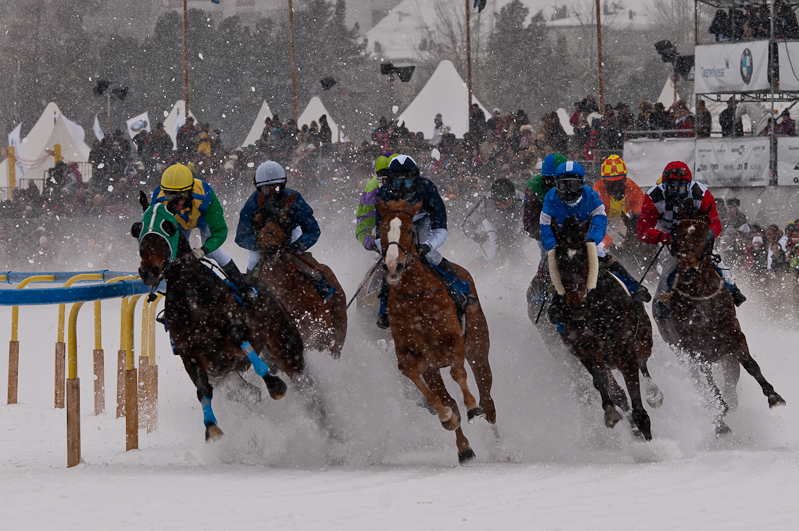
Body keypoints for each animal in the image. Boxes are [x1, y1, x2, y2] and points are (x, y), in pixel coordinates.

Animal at [131, 193, 306, 442]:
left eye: (168, 227)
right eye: (137, 229)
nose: (149, 271)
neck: (191, 294)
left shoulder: (237, 327)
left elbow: (238, 335)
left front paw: (273, 384)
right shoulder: (191, 355)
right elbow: (203, 389)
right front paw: (211, 427)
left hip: (287, 347)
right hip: (231, 379)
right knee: (251, 393)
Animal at [374, 197, 494, 464]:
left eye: (410, 229)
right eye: (381, 230)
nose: (393, 265)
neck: (416, 295)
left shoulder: (454, 340)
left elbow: (458, 374)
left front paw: (472, 408)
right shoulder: (417, 357)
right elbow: (416, 378)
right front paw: (447, 417)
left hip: (478, 347)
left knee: (487, 396)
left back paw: (499, 445)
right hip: (435, 368)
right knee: (449, 397)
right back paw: (464, 448)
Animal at [552, 215, 664, 440]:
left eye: (584, 260)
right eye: (559, 262)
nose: (575, 305)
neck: (595, 312)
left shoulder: (625, 350)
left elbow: (637, 401)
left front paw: (646, 432)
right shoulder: (584, 350)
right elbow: (602, 381)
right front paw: (611, 411)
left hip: (643, 337)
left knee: (643, 363)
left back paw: (654, 393)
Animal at [656, 206, 788, 434]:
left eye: (704, 235)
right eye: (677, 235)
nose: (687, 269)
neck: (703, 299)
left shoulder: (734, 336)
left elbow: (751, 364)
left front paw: (773, 396)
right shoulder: (695, 349)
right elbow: (708, 382)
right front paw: (720, 415)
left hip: (726, 356)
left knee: (731, 381)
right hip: (679, 351)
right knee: (699, 382)